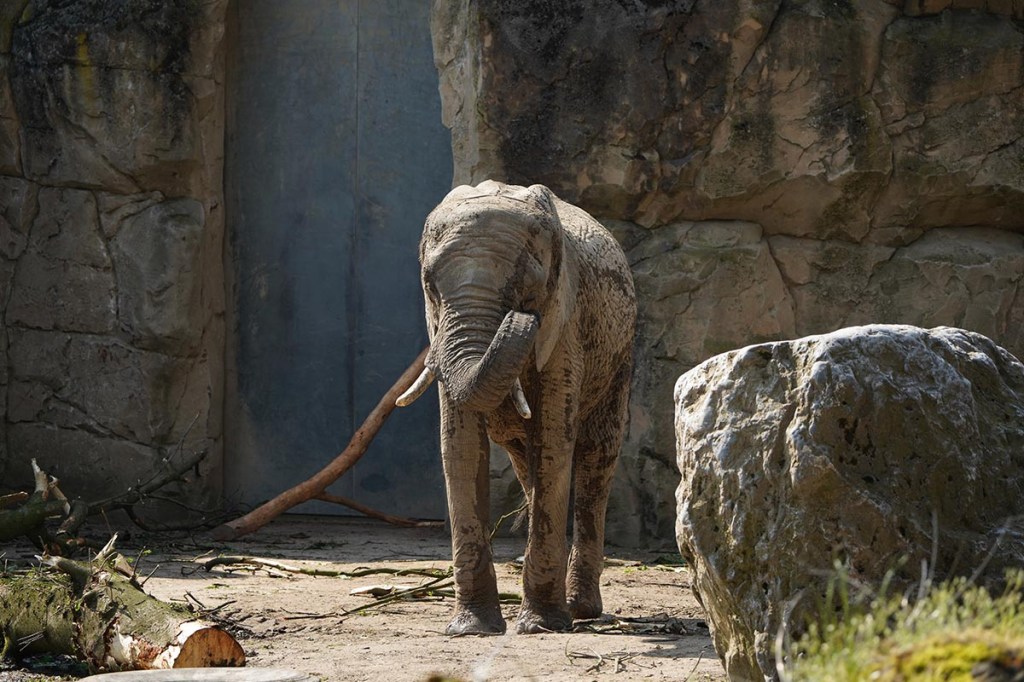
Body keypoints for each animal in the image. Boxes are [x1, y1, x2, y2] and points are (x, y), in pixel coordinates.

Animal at [395, 179, 634, 630]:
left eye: (529, 287)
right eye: (430, 284)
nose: (521, 317)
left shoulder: (565, 323)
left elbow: (555, 441)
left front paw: (540, 625)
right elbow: (461, 448)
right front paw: (472, 629)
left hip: (620, 359)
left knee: (596, 456)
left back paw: (580, 610)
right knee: (527, 462)